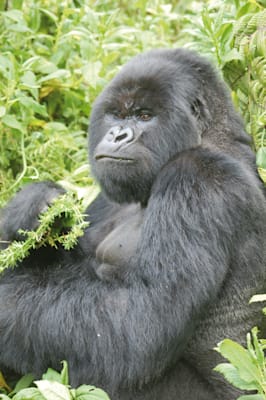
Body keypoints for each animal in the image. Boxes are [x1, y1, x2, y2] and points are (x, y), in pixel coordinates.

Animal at [0, 49, 266, 400]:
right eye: (116, 115)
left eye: (144, 115)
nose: (117, 135)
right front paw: (33, 207)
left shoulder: (199, 177)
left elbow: (137, 326)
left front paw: (2, 307)